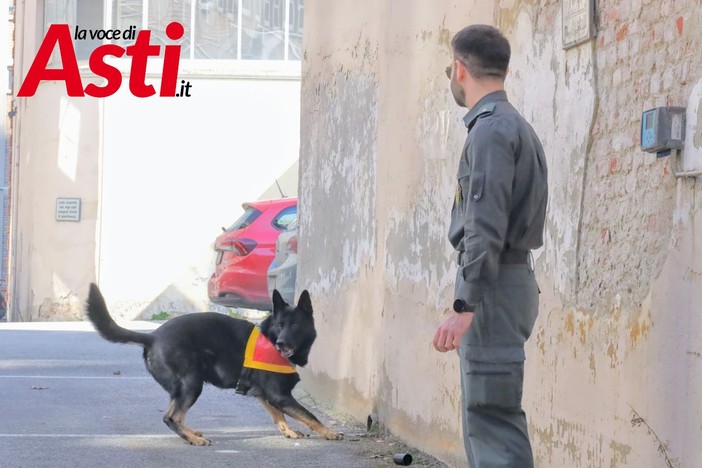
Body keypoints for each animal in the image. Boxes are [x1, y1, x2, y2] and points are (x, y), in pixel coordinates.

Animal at [85, 284, 344, 444]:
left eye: (295, 326)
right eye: (280, 325)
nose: (281, 343)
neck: (270, 337)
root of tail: (153, 336)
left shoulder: (265, 395)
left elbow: (278, 416)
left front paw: (288, 431)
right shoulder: (279, 395)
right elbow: (309, 416)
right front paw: (329, 432)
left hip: (186, 387)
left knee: (177, 415)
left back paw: (191, 432)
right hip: (191, 384)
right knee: (171, 417)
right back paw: (193, 439)